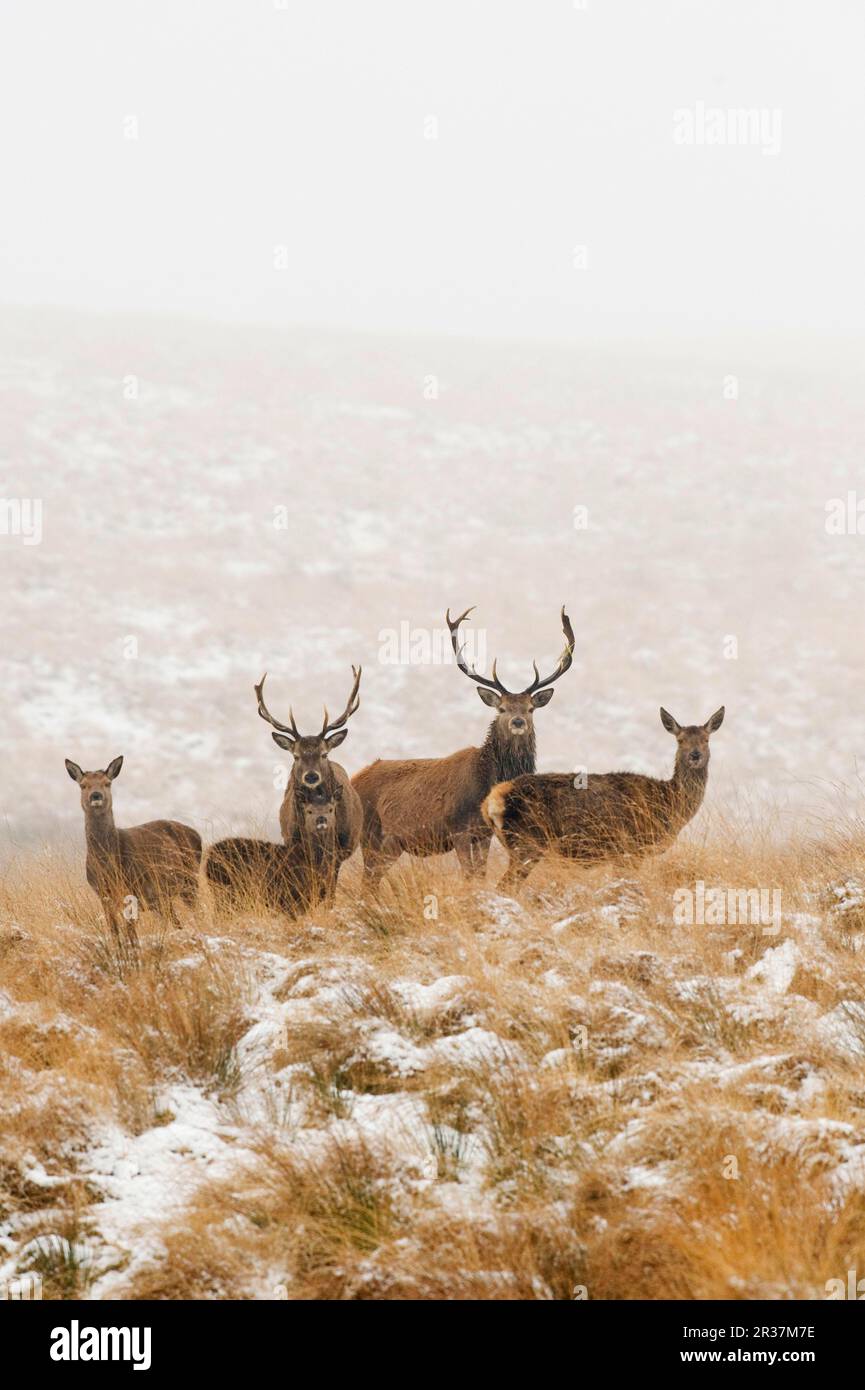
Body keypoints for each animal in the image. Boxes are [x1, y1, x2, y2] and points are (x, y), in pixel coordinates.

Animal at [64, 756, 201, 950]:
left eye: (107, 783)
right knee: (176, 921)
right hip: (162, 897)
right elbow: (114, 931)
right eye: (83, 785)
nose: (96, 795)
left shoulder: (131, 890)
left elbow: (131, 933)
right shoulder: (103, 895)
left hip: (191, 879)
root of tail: (197, 835)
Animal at [205, 789, 342, 917]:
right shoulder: (289, 898)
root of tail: (208, 859)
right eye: (309, 811)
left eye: (330, 809)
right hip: (226, 892)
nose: (321, 820)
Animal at [257, 667, 367, 906]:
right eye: (296, 756)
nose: (311, 776)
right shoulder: (295, 846)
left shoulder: (337, 851)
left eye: (323, 754)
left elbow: (330, 888)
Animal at [353, 606, 575, 889]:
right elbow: (468, 875)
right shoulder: (458, 828)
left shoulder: (483, 833)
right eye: (502, 708)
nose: (518, 721)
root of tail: (353, 778)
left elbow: (480, 874)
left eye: (530, 708)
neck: (486, 783)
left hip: (390, 844)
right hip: (370, 834)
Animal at [483, 706, 728, 889]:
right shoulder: (631, 848)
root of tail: (491, 801)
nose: (695, 755)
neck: (669, 803)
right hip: (527, 842)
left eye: (706, 739)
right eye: (680, 740)